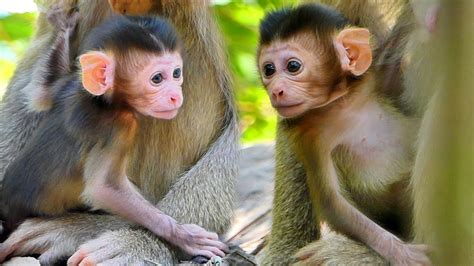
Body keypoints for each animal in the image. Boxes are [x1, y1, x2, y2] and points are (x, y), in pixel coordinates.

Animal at [0, 8, 228, 262]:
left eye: (176, 73)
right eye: (157, 78)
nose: (176, 96)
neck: (102, 101)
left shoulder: (69, 86)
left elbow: (41, 94)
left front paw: (64, 28)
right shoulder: (120, 127)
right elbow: (104, 188)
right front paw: (184, 236)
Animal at [260, 4, 430, 266]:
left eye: (293, 66)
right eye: (268, 70)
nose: (275, 91)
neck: (340, 105)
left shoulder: (370, 80)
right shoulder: (311, 137)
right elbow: (334, 202)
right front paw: (403, 254)